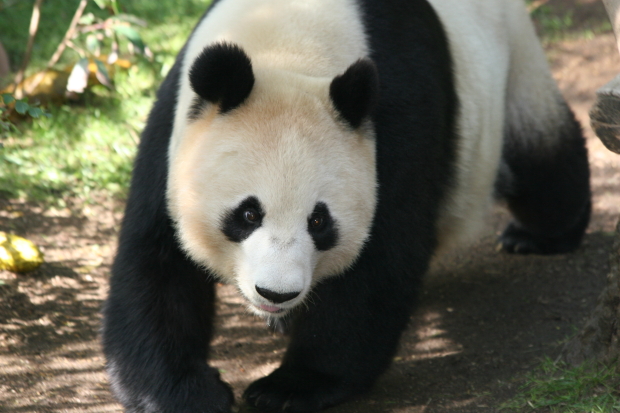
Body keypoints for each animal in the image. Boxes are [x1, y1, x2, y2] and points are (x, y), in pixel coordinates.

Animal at [101, 0, 592, 410]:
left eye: (319, 221)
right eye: (247, 214)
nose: (276, 293)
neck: (287, 43)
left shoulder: (395, 116)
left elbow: (379, 260)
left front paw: (291, 387)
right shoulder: (175, 133)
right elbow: (156, 260)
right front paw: (184, 392)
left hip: (511, 63)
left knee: (538, 153)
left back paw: (540, 234)